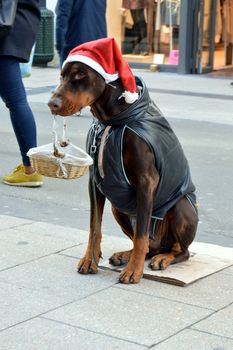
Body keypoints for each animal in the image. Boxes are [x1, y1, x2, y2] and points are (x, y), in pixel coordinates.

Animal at [48, 38, 198, 284]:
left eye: (80, 74)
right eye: (62, 75)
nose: (52, 103)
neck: (111, 121)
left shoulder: (146, 181)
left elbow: (141, 234)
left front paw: (134, 271)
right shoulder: (95, 182)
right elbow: (94, 225)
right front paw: (89, 260)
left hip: (180, 206)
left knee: (179, 250)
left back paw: (163, 259)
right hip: (119, 207)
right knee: (149, 247)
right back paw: (125, 255)